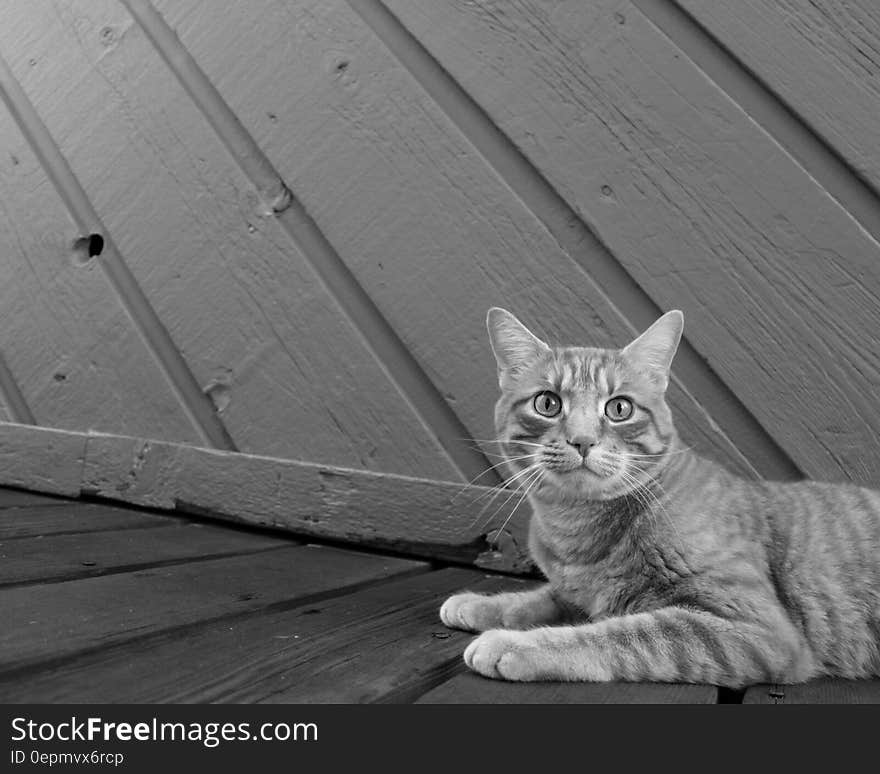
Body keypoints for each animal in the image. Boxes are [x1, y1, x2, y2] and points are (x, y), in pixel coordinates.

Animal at [440, 306, 880, 688]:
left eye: (619, 408)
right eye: (547, 403)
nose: (582, 440)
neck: (578, 532)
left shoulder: (755, 630)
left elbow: (617, 635)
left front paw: (512, 643)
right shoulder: (574, 592)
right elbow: (539, 598)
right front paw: (479, 604)